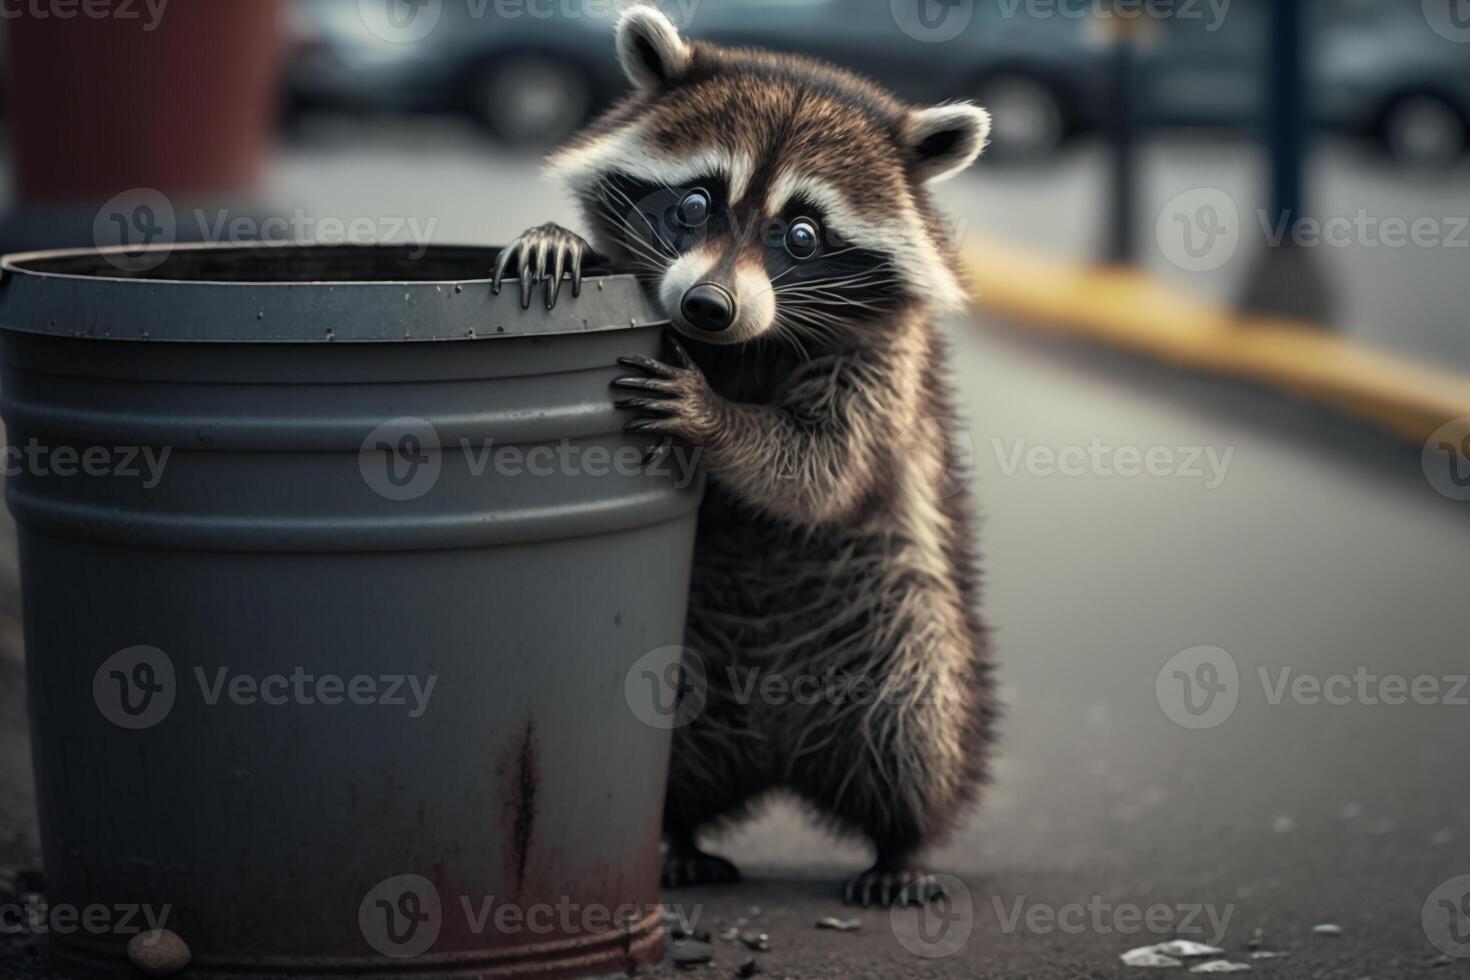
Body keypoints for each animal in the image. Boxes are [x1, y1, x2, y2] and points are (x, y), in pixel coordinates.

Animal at [496, 9, 999, 910]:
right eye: (694, 204)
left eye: (800, 235)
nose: (707, 306)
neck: (741, 347)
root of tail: (777, 757)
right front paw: (561, 240)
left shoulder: (885, 360)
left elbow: (824, 465)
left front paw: (718, 422)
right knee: (673, 771)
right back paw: (682, 834)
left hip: (906, 626)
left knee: (917, 728)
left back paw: (903, 843)